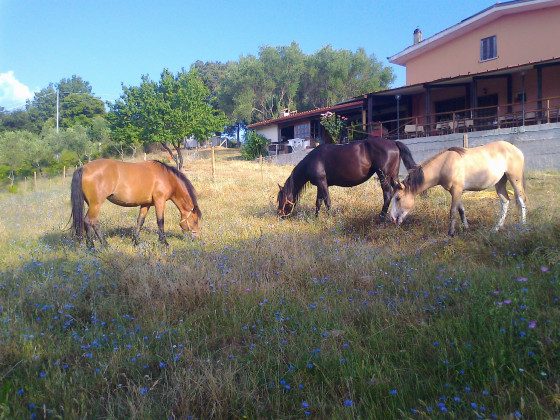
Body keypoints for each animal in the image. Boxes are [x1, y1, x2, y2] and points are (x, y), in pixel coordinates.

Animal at [71, 158, 200, 246]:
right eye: (195, 220)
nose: (196, 238)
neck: (167, 177)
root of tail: (83, 167)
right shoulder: (160, 201)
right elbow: (160, 221)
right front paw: (164, 242)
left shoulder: (146, 204)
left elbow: (140, 221)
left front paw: (136, 241)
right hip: (96, 204)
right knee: (90, 221)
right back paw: (100, 245)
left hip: (92, 204)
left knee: (90, 222)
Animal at [276, 137, 416, 218]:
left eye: (280, 199)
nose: (280, 214)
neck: (312, 161)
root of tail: (393, 142)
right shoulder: (320, 184)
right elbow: (318, 202)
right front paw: (316, 217)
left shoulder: (322, 183)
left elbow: (327, 201)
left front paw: (329, 217)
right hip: (393, 176)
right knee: (399, 191)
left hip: (384, 176)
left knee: (387, 195)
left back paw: (381, 217)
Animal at [390, 139, 524, 235]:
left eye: (398, 198)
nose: (392, 218)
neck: (444, 164)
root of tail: (516, 149)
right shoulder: (455, 191)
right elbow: (461, 210)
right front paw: (466, 228)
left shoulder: (457, 190)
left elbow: (453, 211)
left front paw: (451, 233)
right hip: (500, 182)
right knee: (505, 201)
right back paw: (496, 228)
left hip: (515, 179)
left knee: (521, 199)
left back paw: (523, 225)